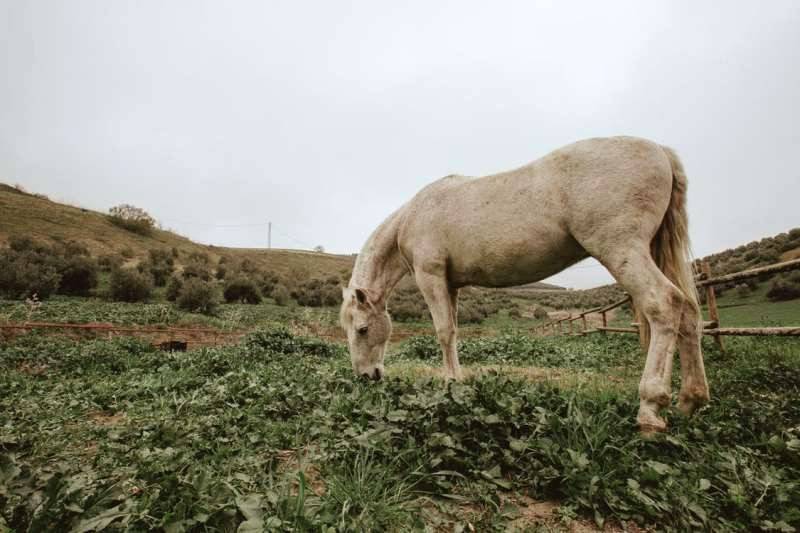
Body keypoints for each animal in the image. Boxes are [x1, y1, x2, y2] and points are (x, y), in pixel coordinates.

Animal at [340, 136, 708, 432]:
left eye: (361, 329)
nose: (366, 376)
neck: (413, 216)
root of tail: (660, 151)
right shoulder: (451, 284)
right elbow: (453, 331)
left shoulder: (430, 276)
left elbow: (443, 332)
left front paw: (451, 383)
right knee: (689, 313)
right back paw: (691, 400)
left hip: (622, 249)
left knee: (664, 304)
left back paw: (650, 409)